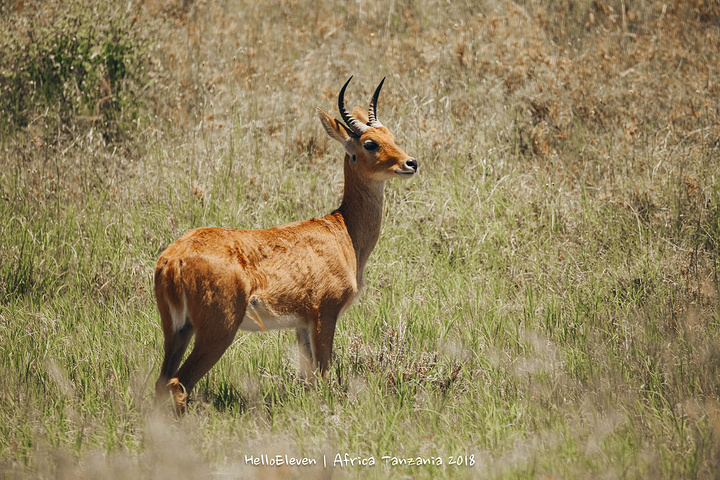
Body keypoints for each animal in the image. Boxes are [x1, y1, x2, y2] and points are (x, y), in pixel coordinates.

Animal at [155, 78, 420, 412]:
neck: (342, 231)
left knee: (161, 383)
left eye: (391, 136)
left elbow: (310, 380)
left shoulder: (301, 325)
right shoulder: (324, 315)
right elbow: (325, 375)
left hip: (177, 331)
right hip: (218, 331)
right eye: (370, 143)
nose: (411, 163)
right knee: (178, 385)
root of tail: (174, 259)